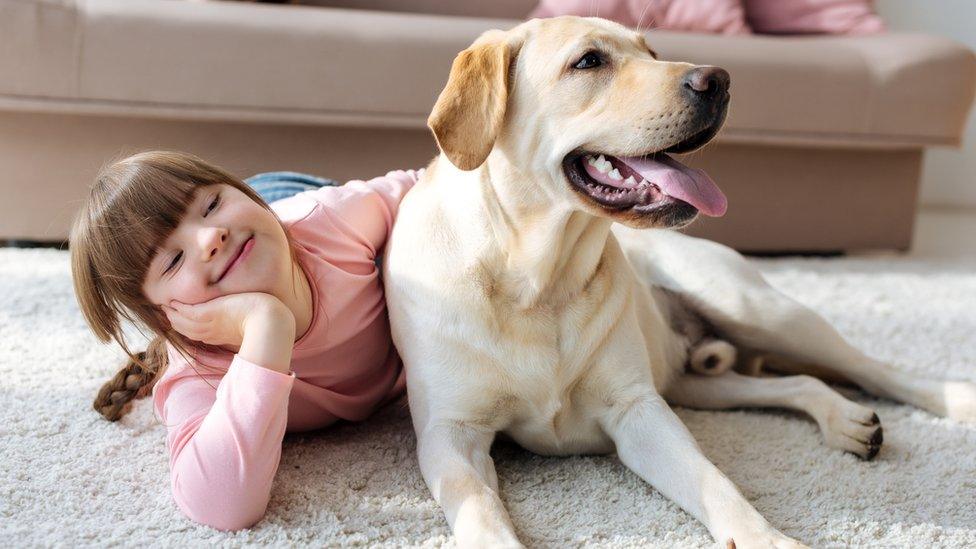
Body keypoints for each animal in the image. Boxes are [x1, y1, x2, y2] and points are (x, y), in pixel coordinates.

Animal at [382, 15, 976, 544]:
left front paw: (768, 539)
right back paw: (842, 417)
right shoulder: (450, 438)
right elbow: (481, 513)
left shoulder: (639, 409)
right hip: (693, 381)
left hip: (755, 310)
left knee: (870, 367)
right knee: (798, 382)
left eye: (651, 51)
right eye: (589, 61)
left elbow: (714, 483)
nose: (719, 80)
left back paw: (954, 399)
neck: (536, 280)